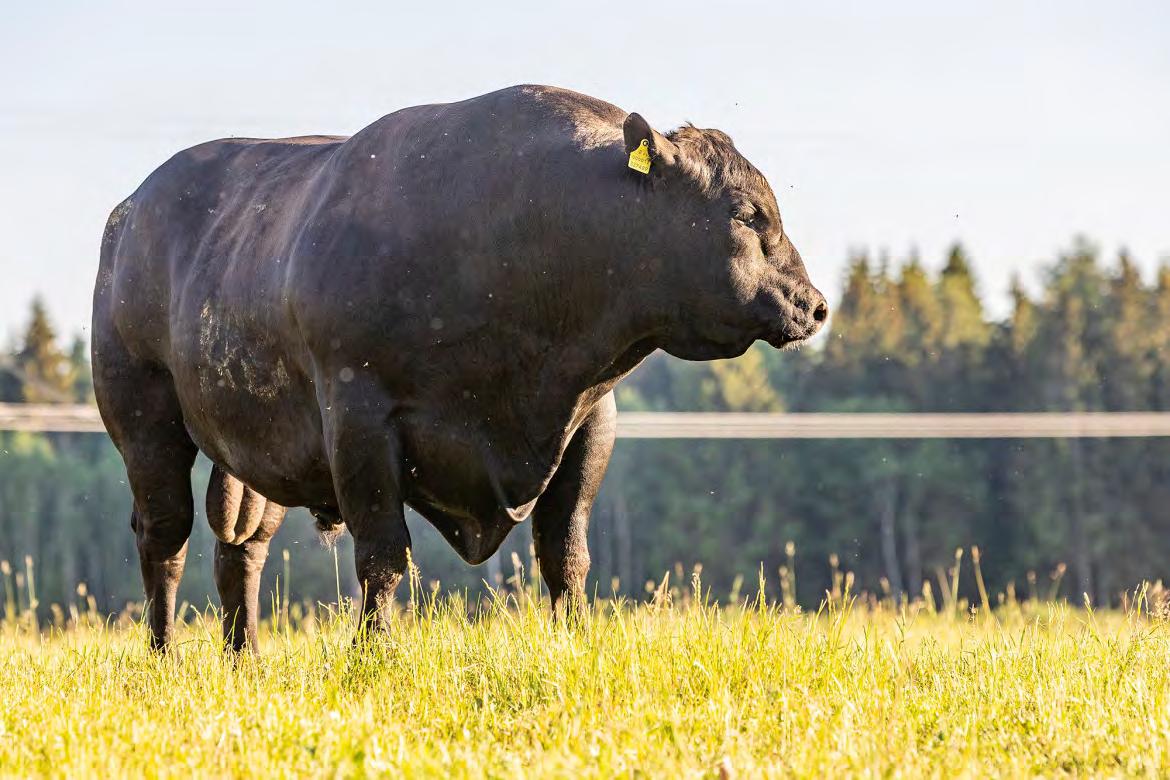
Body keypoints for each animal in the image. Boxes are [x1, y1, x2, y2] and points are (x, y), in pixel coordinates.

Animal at [92, 85, 827, 651]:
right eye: (746, 213)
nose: (816, 304)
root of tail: (131, 208)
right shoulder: (358, 414)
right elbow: (383, 553)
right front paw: (375, 654)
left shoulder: (592, 417)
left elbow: (566, 551)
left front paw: (573, 643)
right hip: (145, 417)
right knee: (164, 537)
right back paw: (164, 659)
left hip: (256, 442)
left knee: (239, 547)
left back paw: (244, 661)